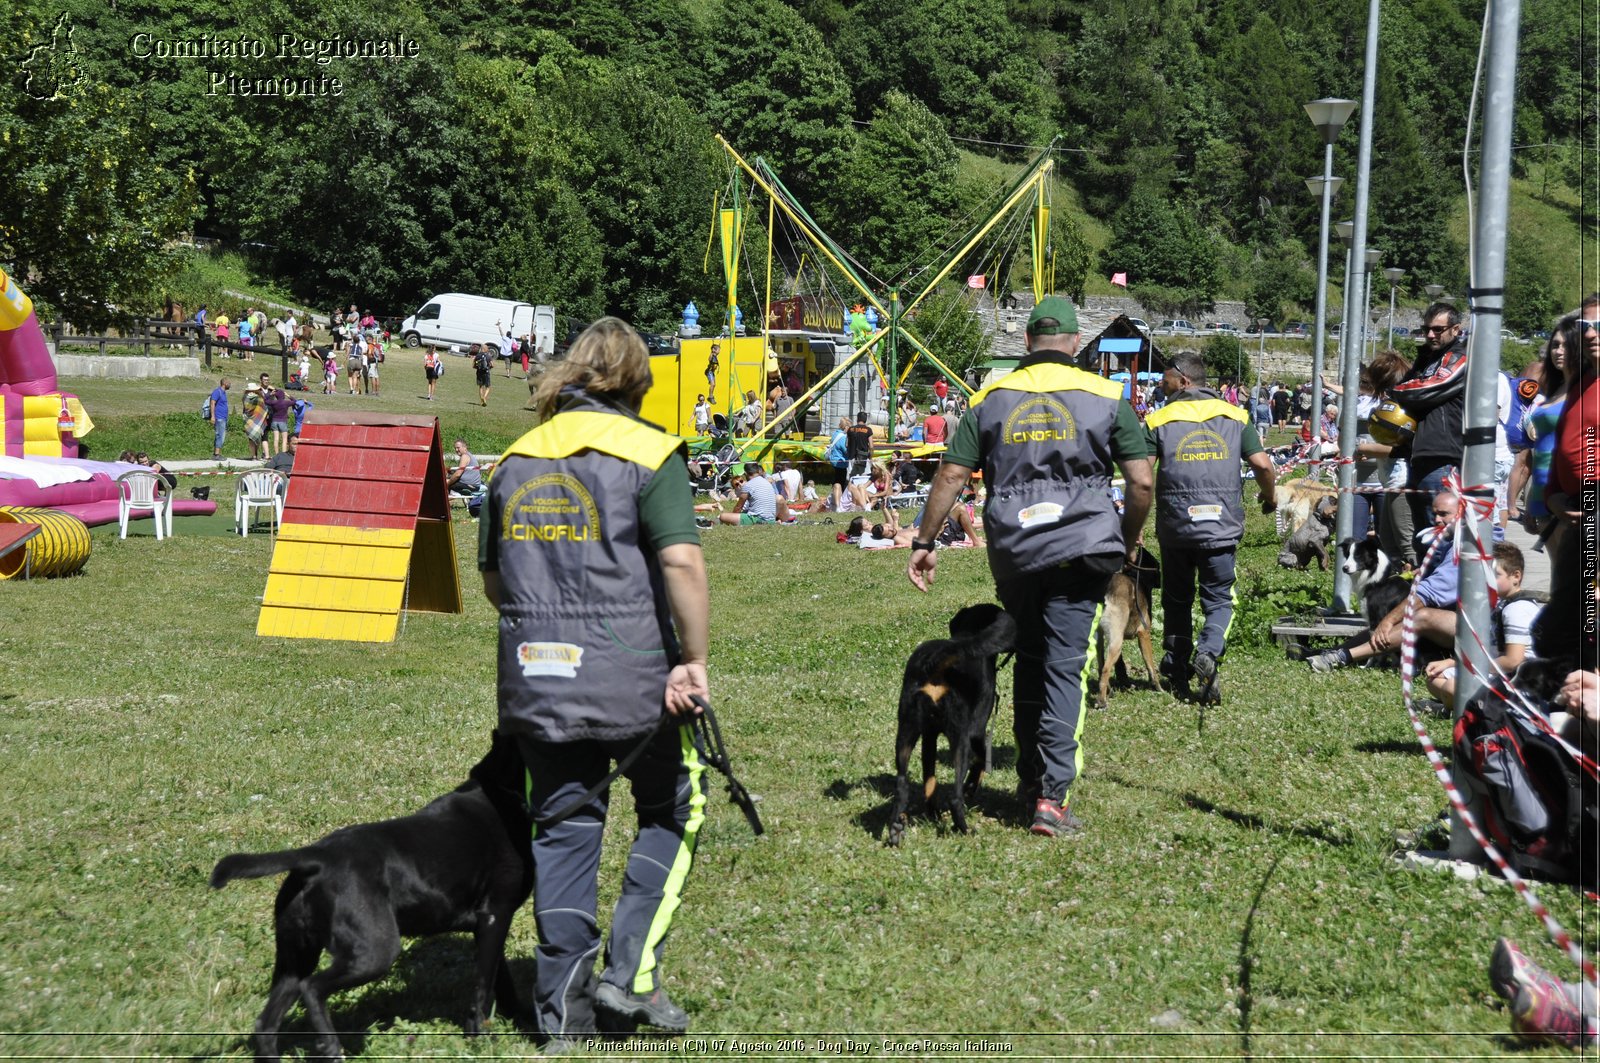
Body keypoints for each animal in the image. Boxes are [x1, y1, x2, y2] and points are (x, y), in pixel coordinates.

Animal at [209, 730, 537, 1063]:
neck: (500, 791)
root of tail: (316, 857)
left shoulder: (486, 927)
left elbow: (501, 978)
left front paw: (518, 1016)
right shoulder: (495, 915)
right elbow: (483, 988)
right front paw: (480, 1038)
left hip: (295, 958)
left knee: (266, 1023)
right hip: (375, 950)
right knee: (312, 988)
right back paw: (331, 1047)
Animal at [889, 605, 1011, 845]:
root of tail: (936, 663)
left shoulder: (929, 737)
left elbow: (929, 781)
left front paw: (933, 813)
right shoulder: (976, 731)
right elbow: (981, 761)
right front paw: (972, 786)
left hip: (906, 733)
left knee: (902, 785)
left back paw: (899, 825)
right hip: (961, 740)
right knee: (955, 796)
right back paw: (965, 829)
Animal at [1094, 547, 1158, 704]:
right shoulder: (1144, 634)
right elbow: (1151, 665)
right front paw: (1158, 687)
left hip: (1099, 640)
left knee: (1101, 666)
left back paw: (1108, 692)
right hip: (1116, 643)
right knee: (1105, 669)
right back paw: (1102, 701)